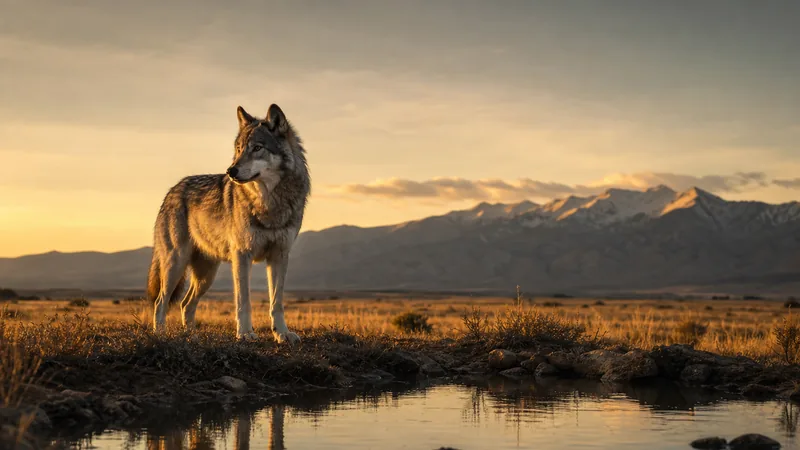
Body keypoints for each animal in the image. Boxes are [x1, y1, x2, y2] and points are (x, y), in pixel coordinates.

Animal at [146, 104, 310, 344]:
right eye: (239, 149)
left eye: (257, 148)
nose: (230, 171)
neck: (268, 202)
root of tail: (173, 190)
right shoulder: (242, 255)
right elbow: (244, 301)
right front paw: (245, 333)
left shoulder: (279, 255)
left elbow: (276, 302)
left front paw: (282, 333)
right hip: (175, 263)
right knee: (161, 301)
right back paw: (160, 333)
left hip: (206, 276)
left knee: (186, 303)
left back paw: (192, 335)